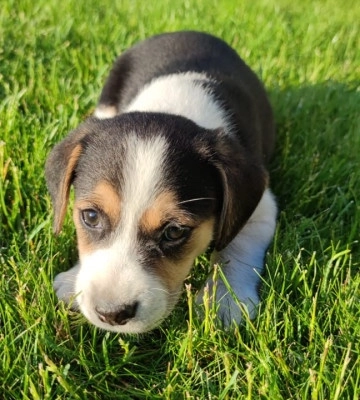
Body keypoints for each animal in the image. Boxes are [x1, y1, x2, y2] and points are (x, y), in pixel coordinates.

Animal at [45, 31, 276, 332]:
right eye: (91, 216)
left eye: (175, 231)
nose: (112, 314)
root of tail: (188, 31)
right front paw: (73, 280)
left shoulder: (261, 208)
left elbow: (235, 247)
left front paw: (224, 300)